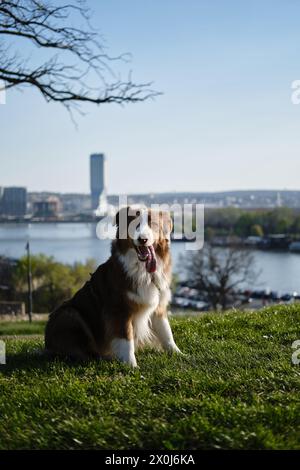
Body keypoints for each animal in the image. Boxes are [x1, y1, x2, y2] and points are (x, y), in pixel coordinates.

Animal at [44, 207, 180, 368]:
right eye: (134, 224)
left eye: (152, 224)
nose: (143, 239)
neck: (143, 271)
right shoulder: (119, 309)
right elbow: (126, 338)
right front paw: (131, 365)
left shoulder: (158, 304)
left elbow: (166, 332)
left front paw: (178, 354)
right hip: (69, 314)